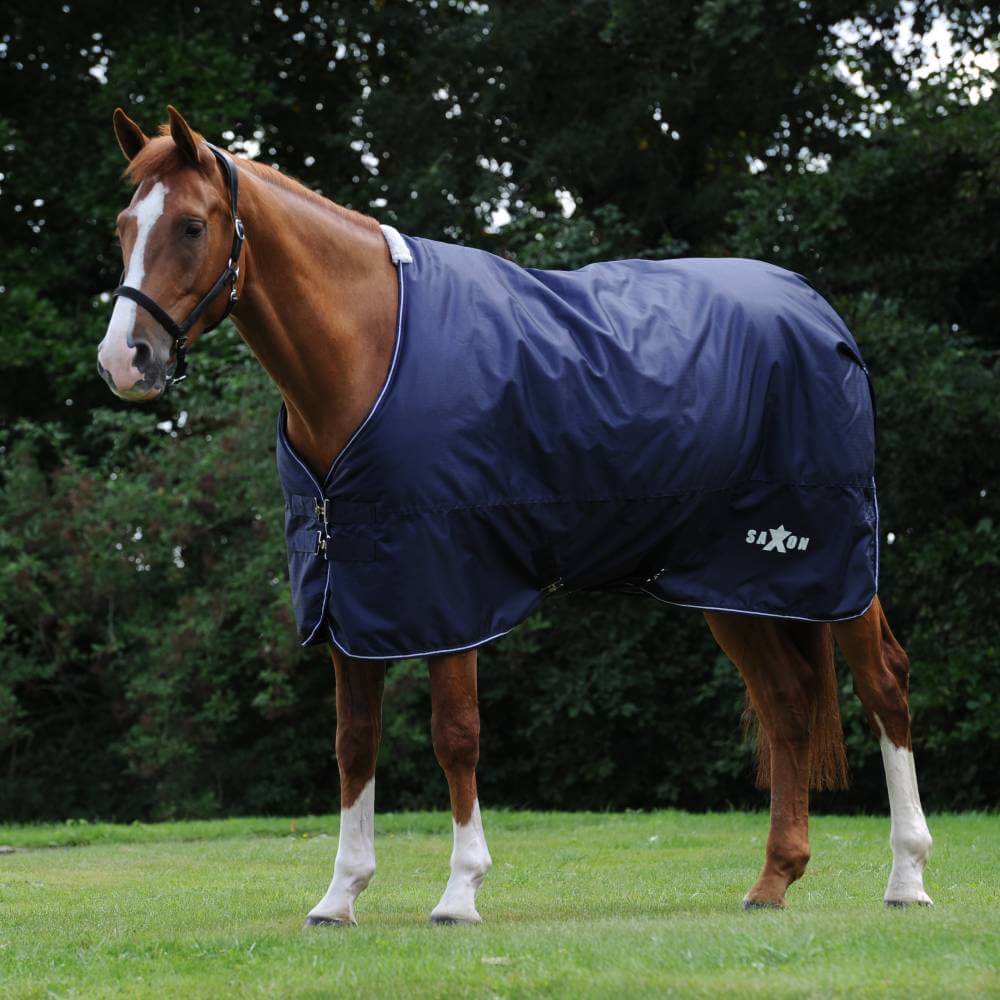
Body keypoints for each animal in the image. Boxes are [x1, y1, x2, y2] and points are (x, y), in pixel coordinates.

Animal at [96, 106, 933, 926]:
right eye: (124, 226)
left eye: (192, 227)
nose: (123, 360)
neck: (369, 351)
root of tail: (815, 309)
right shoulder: (352, 595)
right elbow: (354, 742)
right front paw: (340, 895)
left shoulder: (449, 589)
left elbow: (456, 735)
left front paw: (460, 890)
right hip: (733, 583)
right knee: (787, 703)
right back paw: (773, 881)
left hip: (832, 560)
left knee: (883, 682)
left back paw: (906, 877)